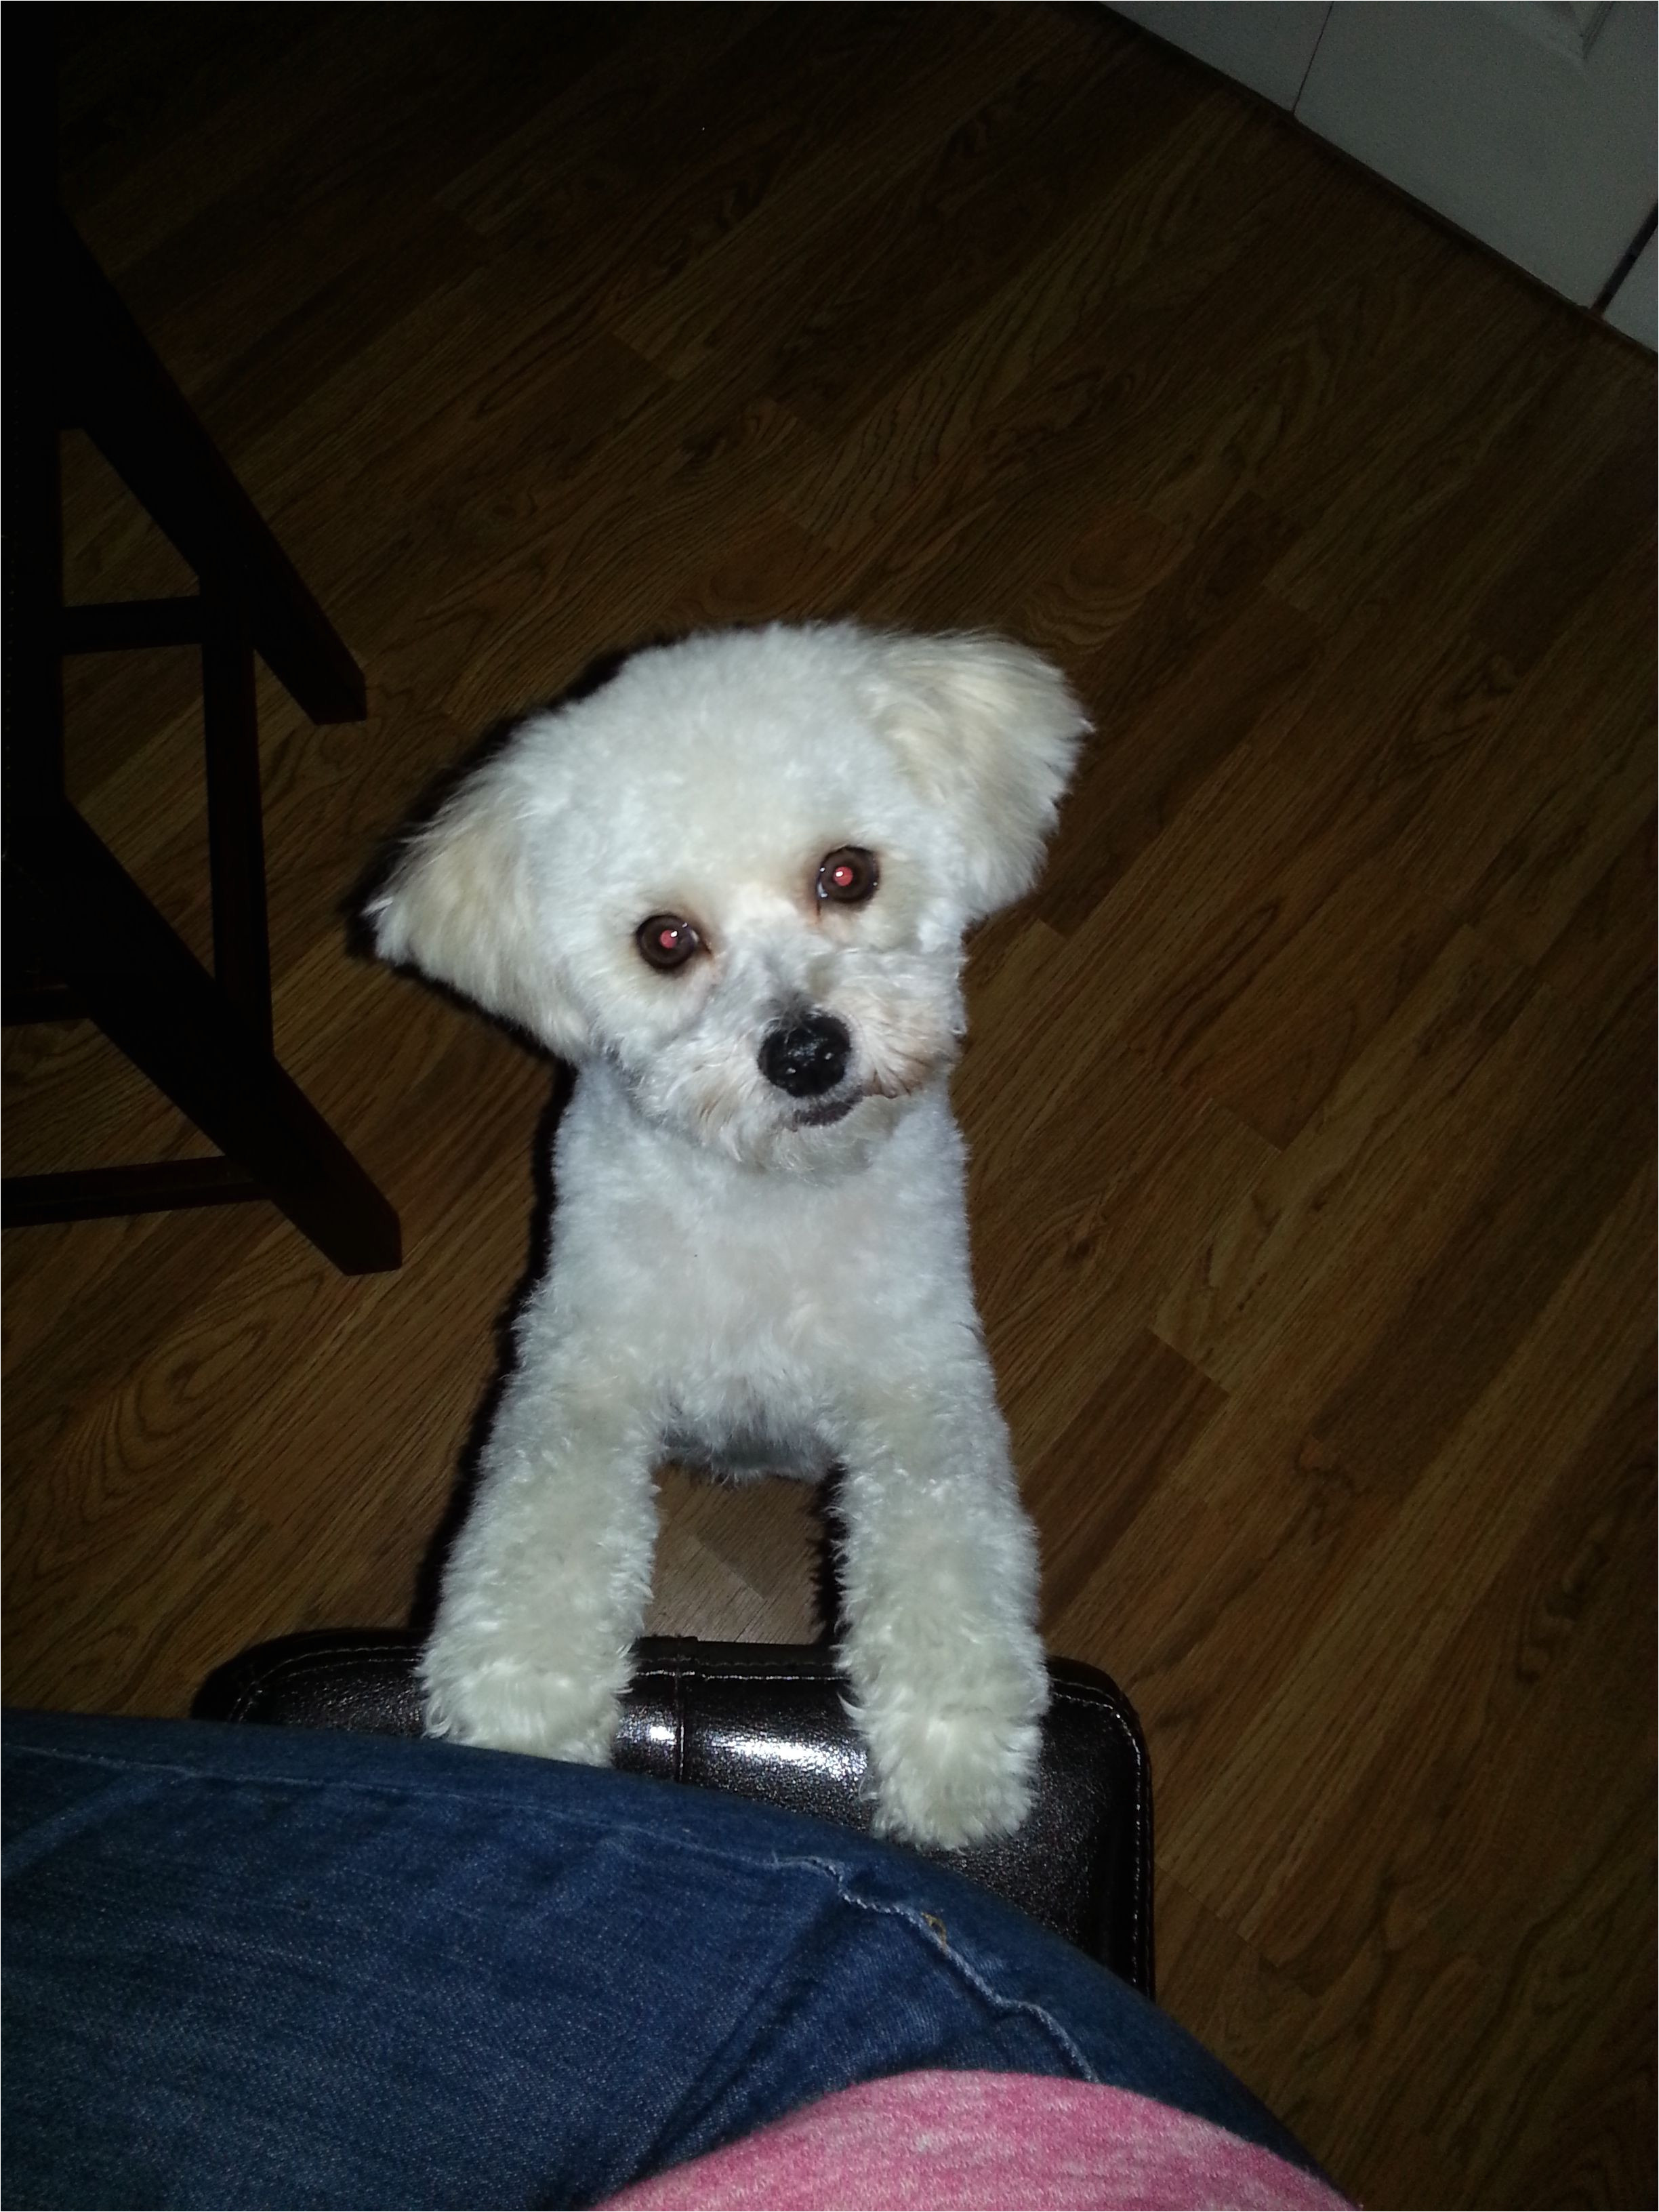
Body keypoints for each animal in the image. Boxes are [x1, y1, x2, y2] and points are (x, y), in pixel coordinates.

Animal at [375, 623, 1097, 1849]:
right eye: (665, 939)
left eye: (847, 873)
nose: (805, 1051)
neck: (767, 1193)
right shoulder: (581, 1369)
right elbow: (541, 1535)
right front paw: (521, 1714)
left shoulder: (920, 1378)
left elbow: (945, 1541)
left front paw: (951, 1747)